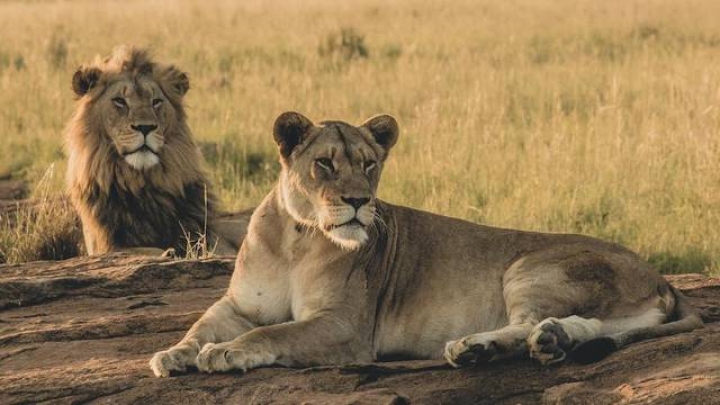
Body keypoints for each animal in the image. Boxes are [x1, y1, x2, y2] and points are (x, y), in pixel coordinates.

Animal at [67, 46, 248, 256]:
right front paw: (166, 252)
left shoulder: (214, 239)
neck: (143, 184)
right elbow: (140, 250)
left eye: (156, 101)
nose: (145, 127)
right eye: (119, 101)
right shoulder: (106, 245)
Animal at [150, 110, 696, 376]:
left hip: (530, 266)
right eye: (324, 163)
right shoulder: (239, 304)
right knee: (583, 326)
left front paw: (226, 353)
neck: (296, 237)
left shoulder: (346, 327)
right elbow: (201, 326)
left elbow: (273, 334)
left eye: (370, 163)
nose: (358, 200)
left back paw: (476, 348)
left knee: (529, 322)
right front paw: (173, 355)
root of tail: (661, 278)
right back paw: (547, 342)